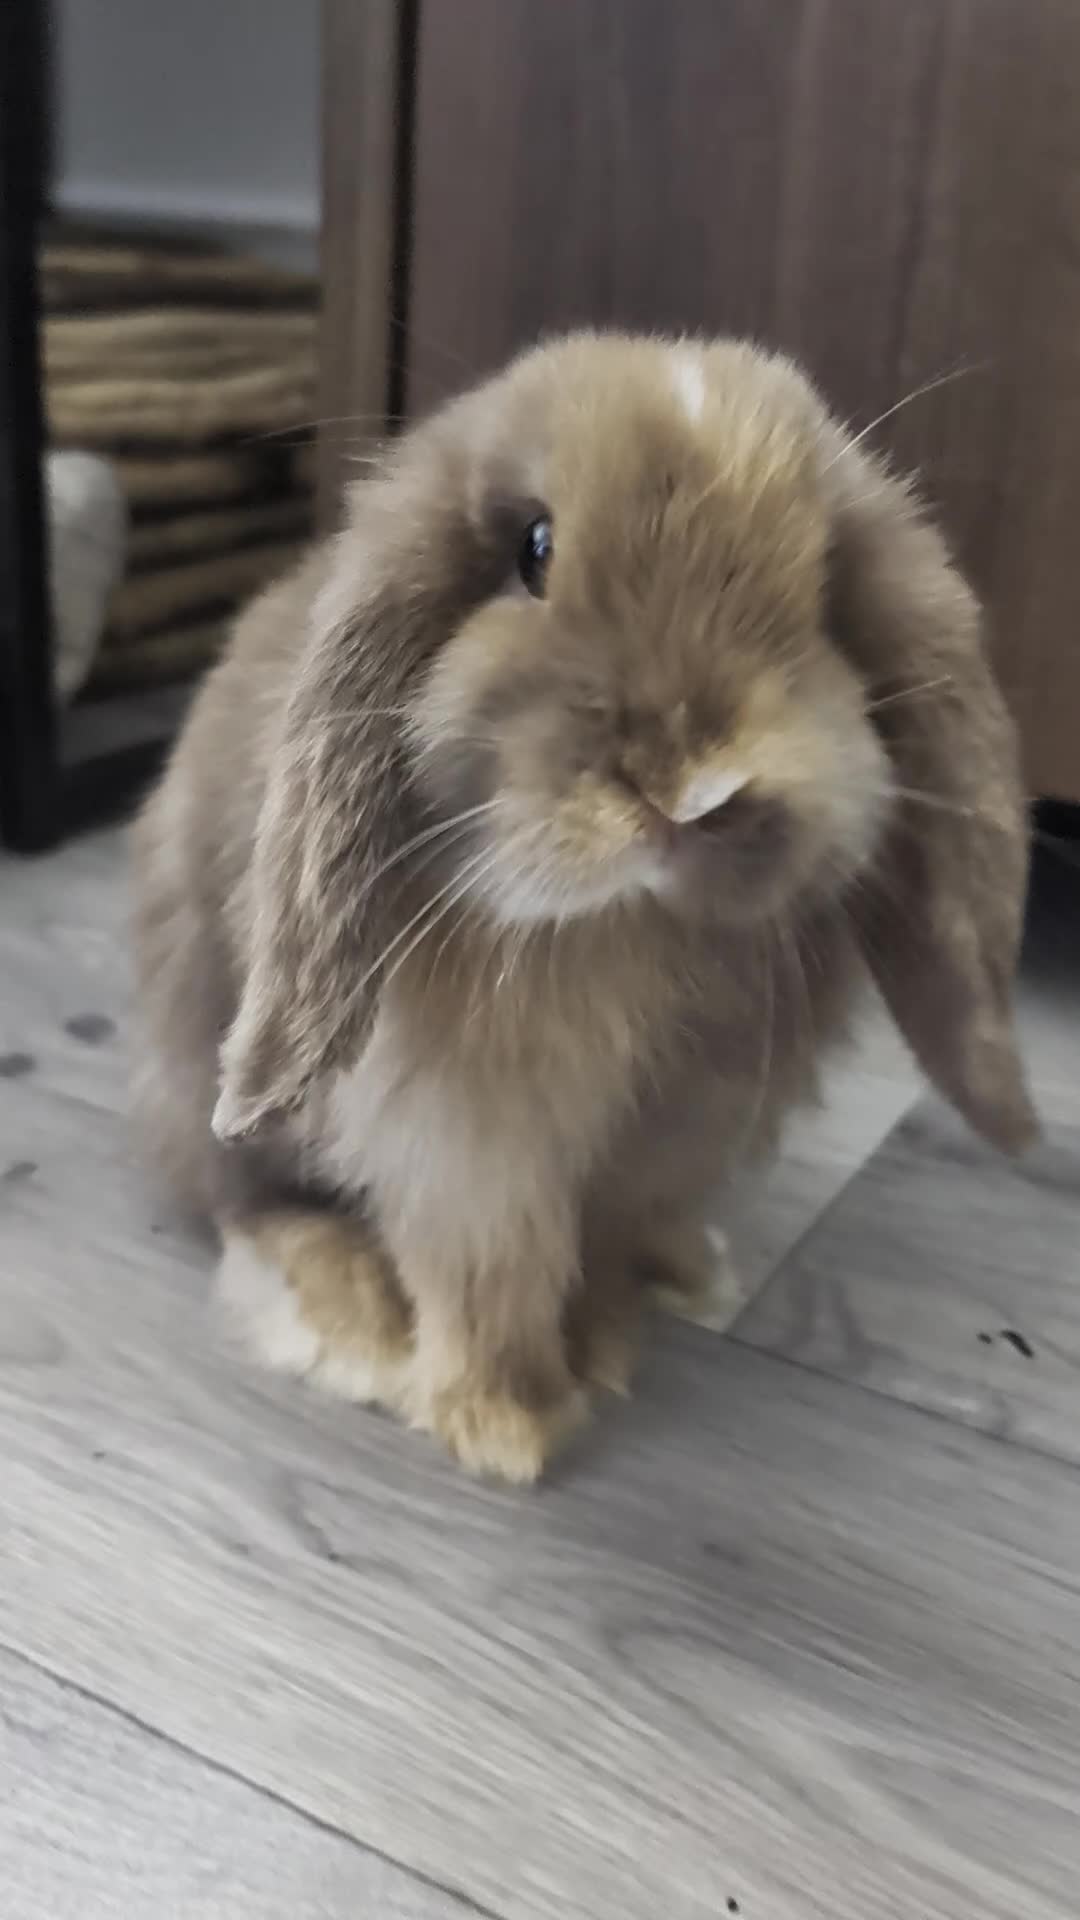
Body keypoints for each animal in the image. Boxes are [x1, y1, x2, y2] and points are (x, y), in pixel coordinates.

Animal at [132, 331, 1036, 1482]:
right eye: (535, 549)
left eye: (827, 582)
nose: (692, 784)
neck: (624, 928)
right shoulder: (466, 1143)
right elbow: (486, 1275)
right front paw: (507, 1426)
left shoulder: (671, 1134)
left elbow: (604, 1238)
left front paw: (605, 1335)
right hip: (202, 1064)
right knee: (239, 1199)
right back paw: (349, 1310)